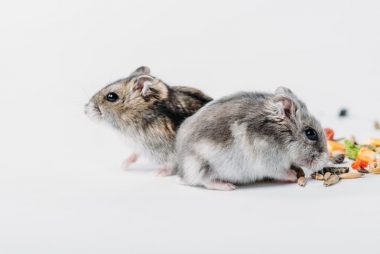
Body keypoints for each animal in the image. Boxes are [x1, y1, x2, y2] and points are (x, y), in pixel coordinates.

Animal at [84, 66, 212, 176]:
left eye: (111, 96)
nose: (85, 110)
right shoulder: (138, 145)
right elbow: (135, 154)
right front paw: (123, 165)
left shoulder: (169, 149)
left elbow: (171, 163)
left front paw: (158, 173)